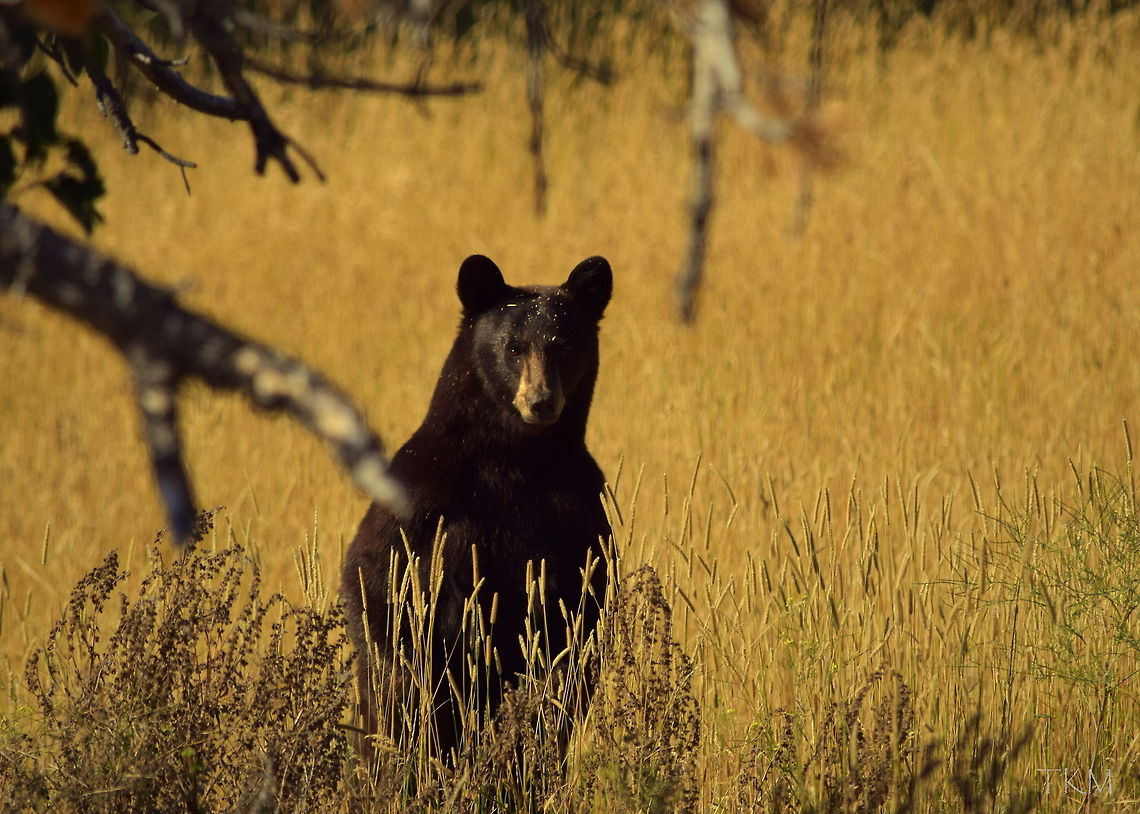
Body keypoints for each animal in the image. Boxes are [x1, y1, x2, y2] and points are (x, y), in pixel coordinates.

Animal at [341, 253, 613, 761]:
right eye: (513, 348)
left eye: (563, 345)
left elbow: (574, 622)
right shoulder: (420, 505)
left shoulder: (581, 518)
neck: (515, 457)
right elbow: (381, 588)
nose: (541, 401)